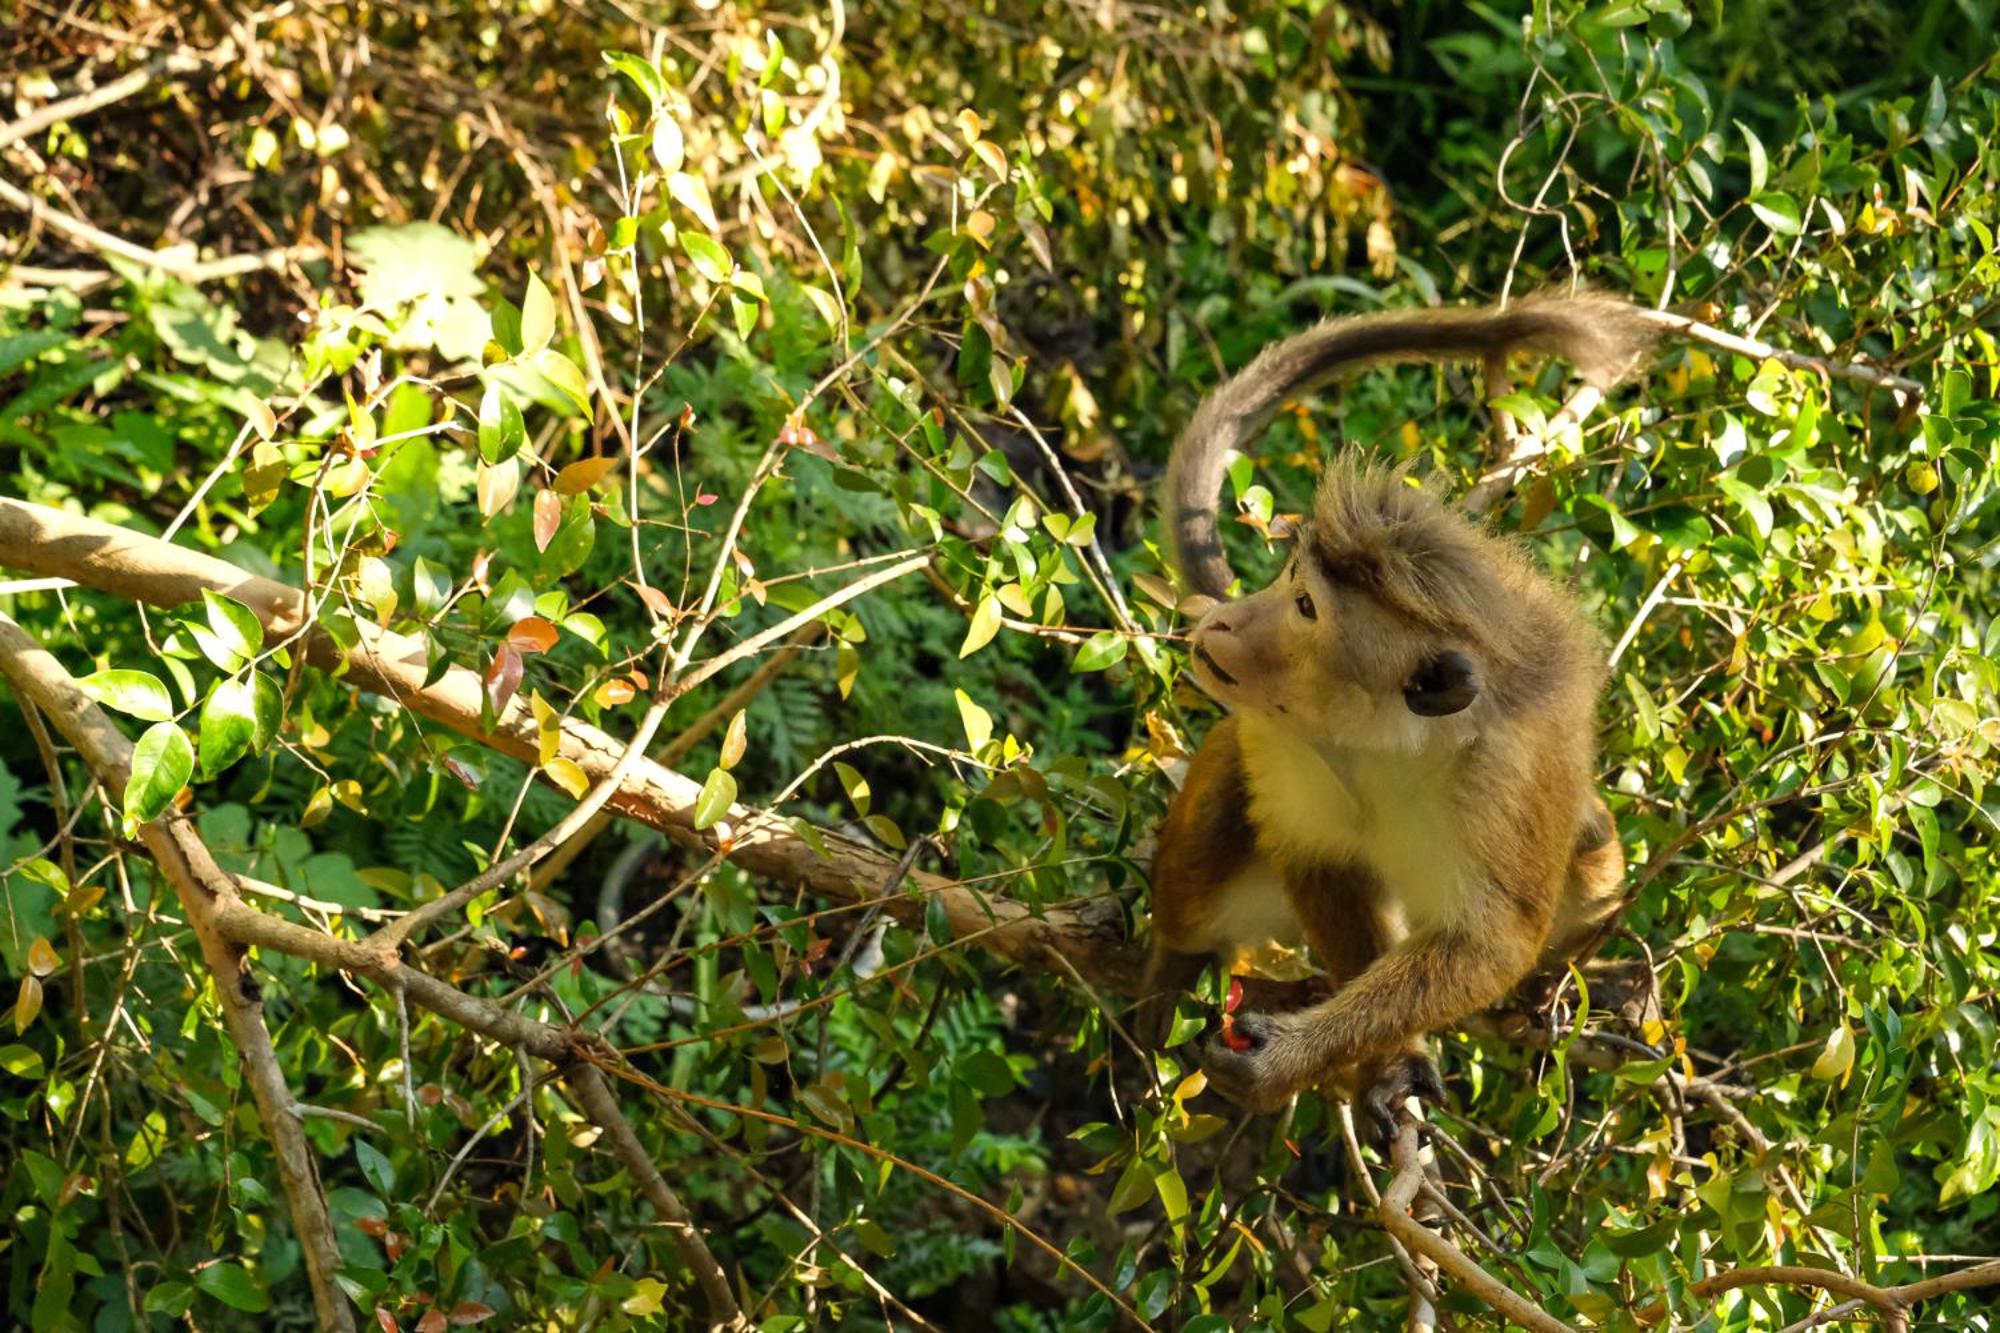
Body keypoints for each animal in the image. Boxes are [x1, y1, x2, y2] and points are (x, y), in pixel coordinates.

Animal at [1142, 290, 1658, 1130]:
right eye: (1290, 576)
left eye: (1306, 605)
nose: (1223, 623)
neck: (1392, 742)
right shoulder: (1281, 740)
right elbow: (1318, 856)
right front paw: (1382, 1058)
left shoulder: (1504, 785)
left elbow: (1489, 944)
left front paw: (1297, 1057)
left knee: (1592, 848)